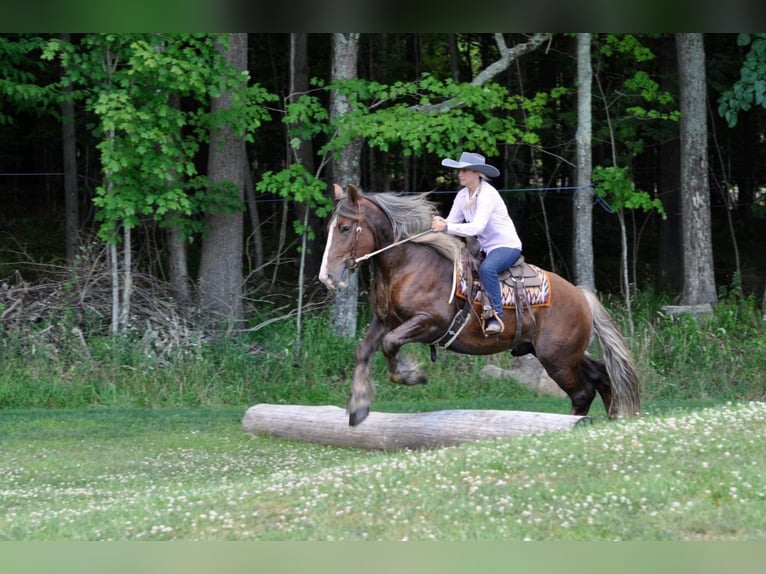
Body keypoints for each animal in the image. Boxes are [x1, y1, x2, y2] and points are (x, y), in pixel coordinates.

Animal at [318, 184, 640, 428]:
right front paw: (358, 407)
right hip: (562, 353)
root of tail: (580, 295)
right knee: (601, 375)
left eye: (345, 228)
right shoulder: (385, 320)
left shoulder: (429, 322)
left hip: (557, 359)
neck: (406, 266)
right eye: (330, 227)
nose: (327, 277)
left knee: (583, 392)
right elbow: (365, 350)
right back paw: (611, 419)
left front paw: (413, 375)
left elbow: (390, 344)